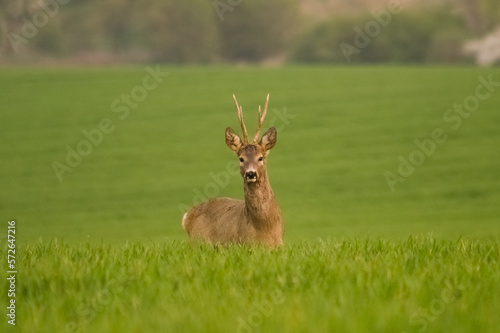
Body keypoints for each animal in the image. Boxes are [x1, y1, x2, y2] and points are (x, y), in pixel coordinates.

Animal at [182, 93, 284, 246]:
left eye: (260, 158)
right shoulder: (243, 244)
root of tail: (188, 216)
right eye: (241, 158)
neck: (265, 228)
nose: (251, 173)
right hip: (199, 242)